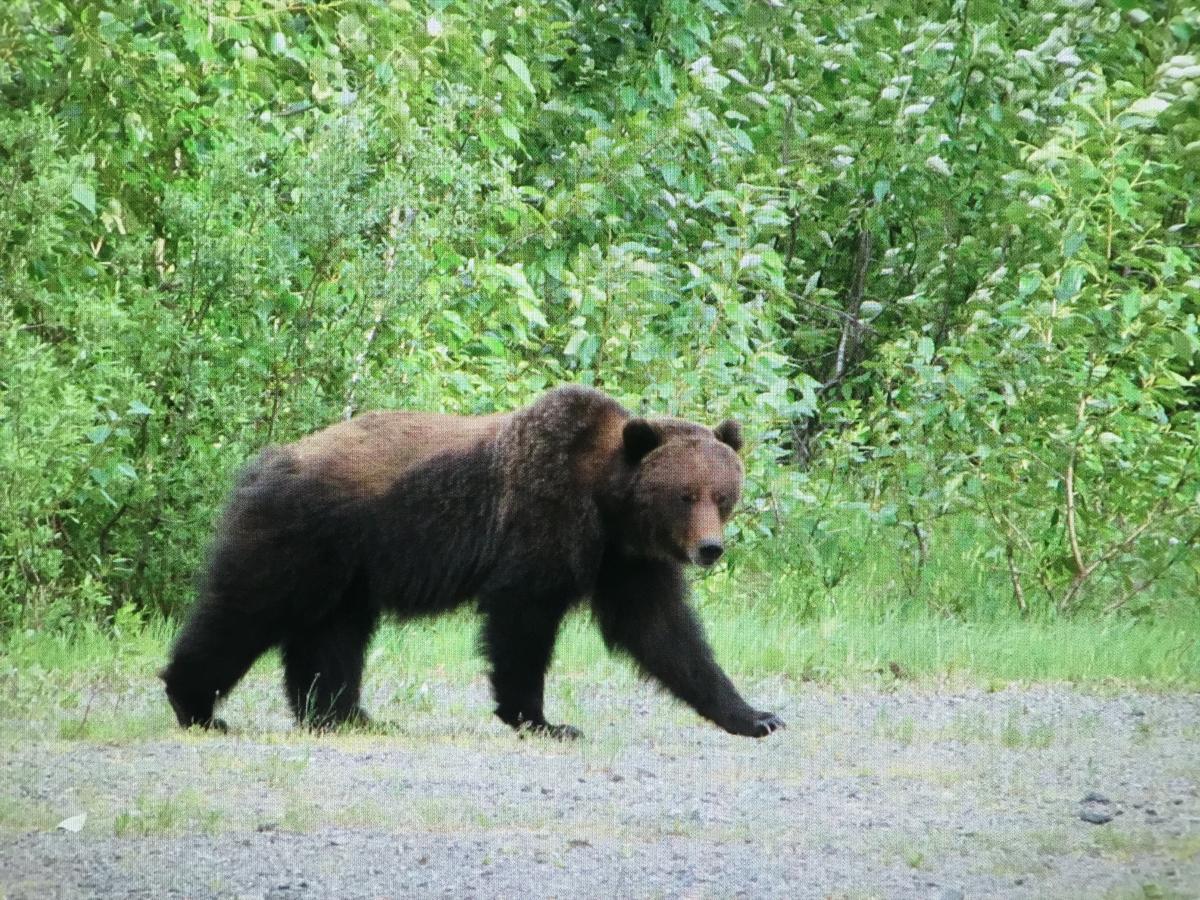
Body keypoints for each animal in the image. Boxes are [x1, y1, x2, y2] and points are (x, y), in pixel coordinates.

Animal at [164, 388, 782, 739]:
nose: (709, 548)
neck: (607, 503)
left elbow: (664, 633)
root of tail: (263, 462)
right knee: (248, 607)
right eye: (684, 494)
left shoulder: (625, 560)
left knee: (332, 635)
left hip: (350, 566)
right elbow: (522, 619)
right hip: (305, 537)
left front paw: (754, 716)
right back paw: (197, 705)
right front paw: (543, 720)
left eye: (723, 495)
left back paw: (344, 715)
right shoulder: (541, 519)